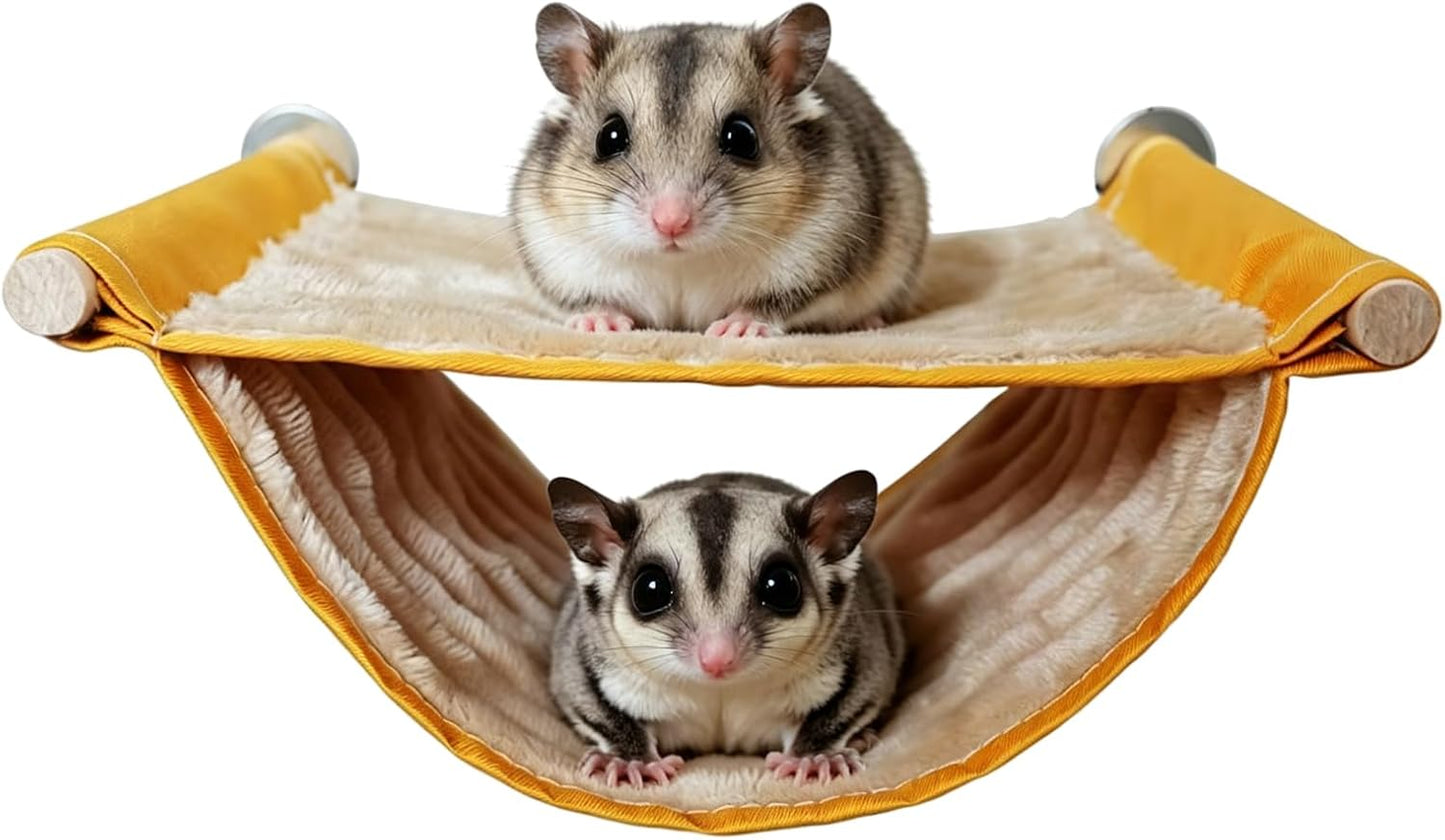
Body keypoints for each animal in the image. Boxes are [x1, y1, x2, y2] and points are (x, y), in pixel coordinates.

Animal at [512, 4, 929, 337]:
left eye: (742, 137)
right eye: (609, 137)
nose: (671, 223)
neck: (680, 263)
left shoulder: (817, 260)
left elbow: (768, 304)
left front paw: (735, 329)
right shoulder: (557, 256)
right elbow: (590, 300)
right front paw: (600, 324)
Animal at [546, 470, 906, 786]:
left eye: (781, 587)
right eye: (650, 591)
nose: (717, 658)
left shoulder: (861, 648)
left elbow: (859, 690)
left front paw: (813, 758)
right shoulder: (581, 650)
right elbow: (583, 694)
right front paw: (629, 761)